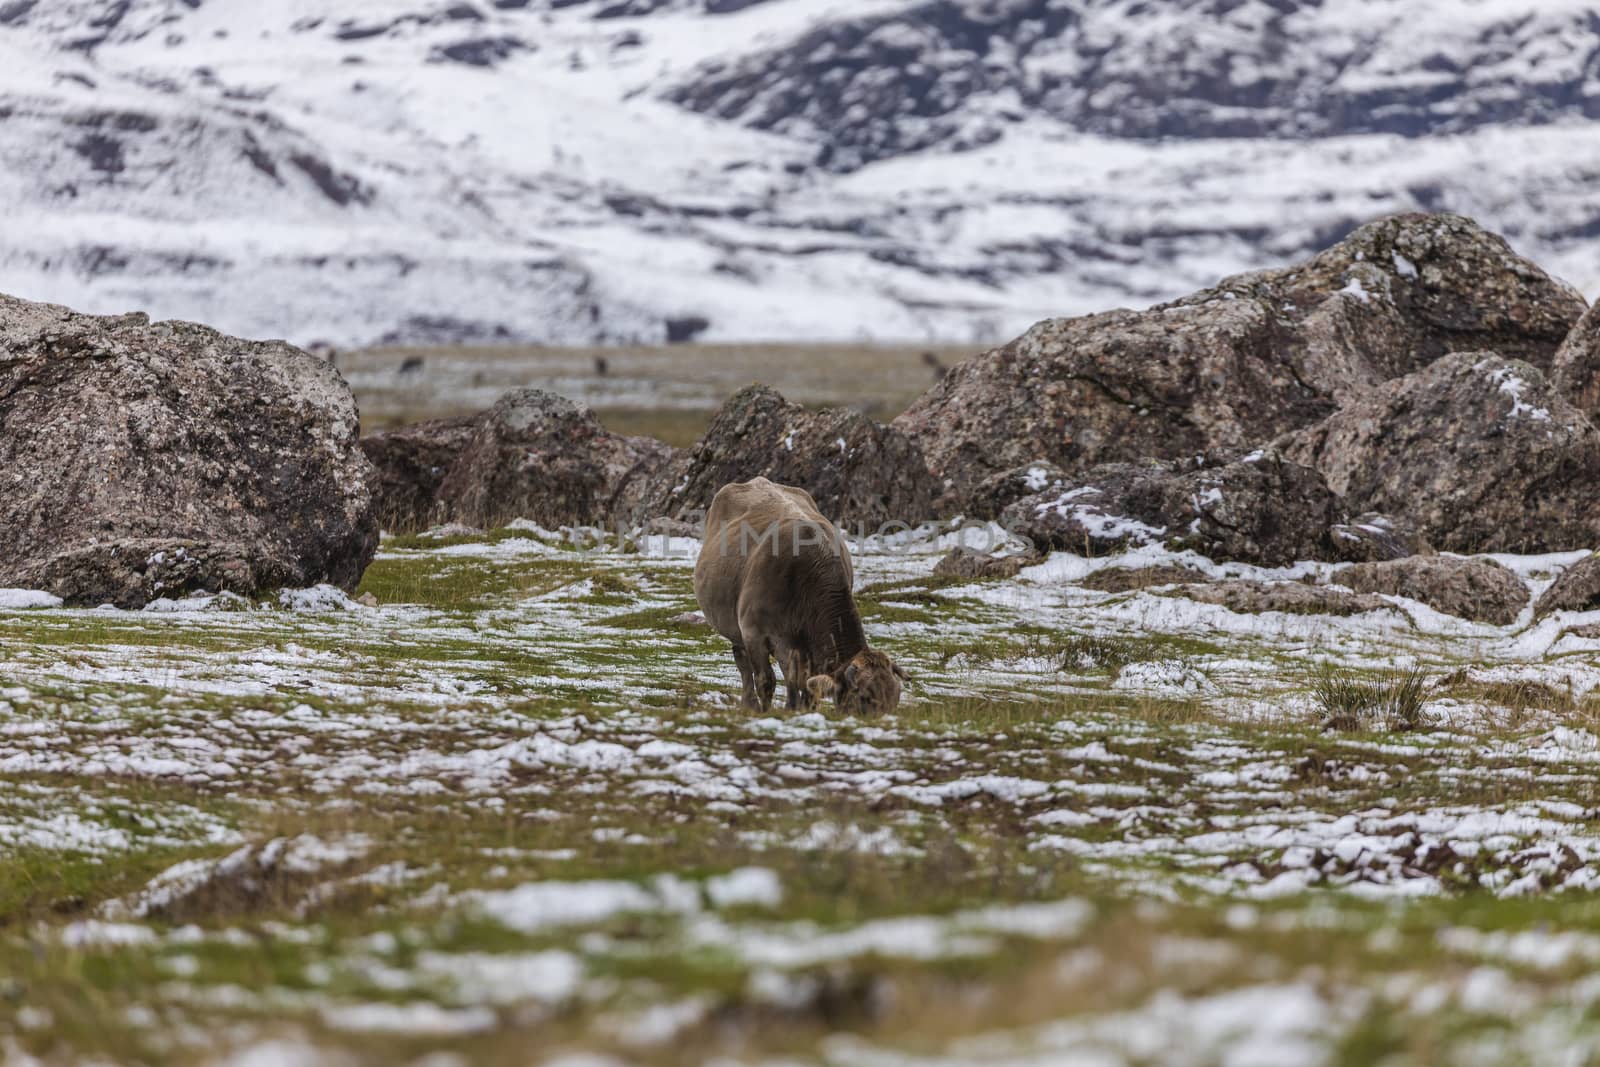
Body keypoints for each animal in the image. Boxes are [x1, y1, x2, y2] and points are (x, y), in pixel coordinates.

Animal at [694, 476, 908, 713]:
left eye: (895, 698)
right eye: (863, 698)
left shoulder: (807, 646)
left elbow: (805, 685)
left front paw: (797, 710)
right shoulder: (754, 633)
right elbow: (766, 680)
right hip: (735, 628)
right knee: (744, 665)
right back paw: (749, 704)